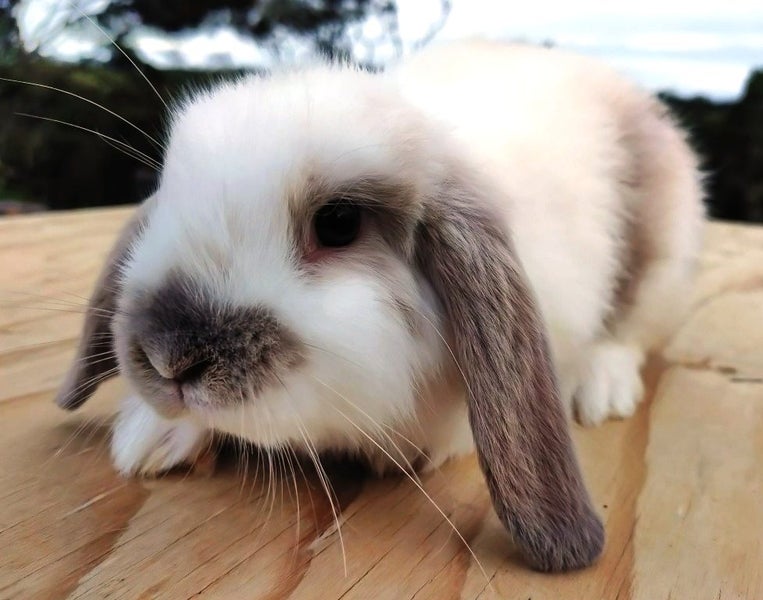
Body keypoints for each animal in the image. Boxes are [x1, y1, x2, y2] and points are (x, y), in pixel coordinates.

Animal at [54, 39, 705, 573]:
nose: (169, 360)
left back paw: (601, 389)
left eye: (339, 223)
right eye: (168, 199)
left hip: (663, 259)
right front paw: (150, 440)